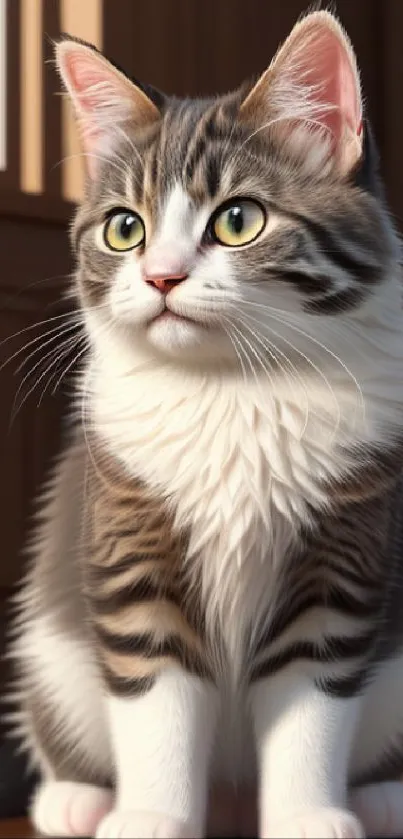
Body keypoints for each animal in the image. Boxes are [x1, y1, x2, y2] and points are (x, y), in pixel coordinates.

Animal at [7, 8, 403, 839]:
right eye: (124, 229)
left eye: (238, 220)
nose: (160, 276)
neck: (231, 387)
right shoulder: (129, 541)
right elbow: (154, 698)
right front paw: (150, 814)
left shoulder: (338, 563)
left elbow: (310, 703)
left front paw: (308, 814)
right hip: (49, 657)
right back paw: (75, 796)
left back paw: (379, 794)